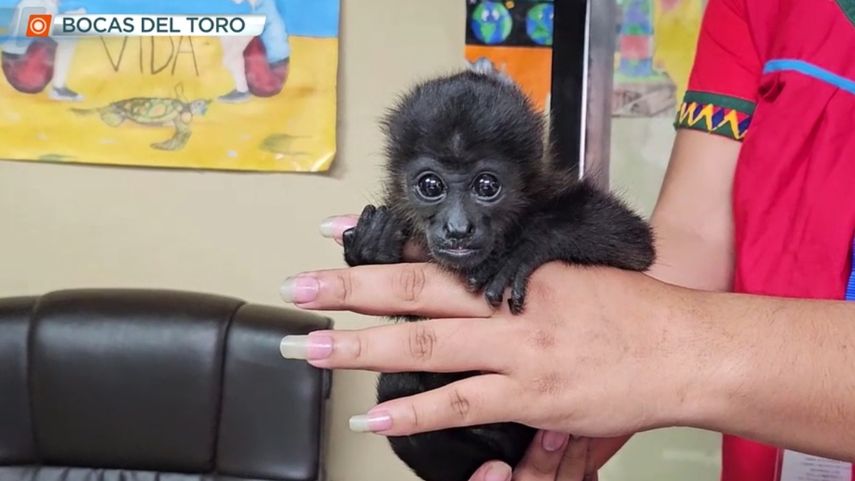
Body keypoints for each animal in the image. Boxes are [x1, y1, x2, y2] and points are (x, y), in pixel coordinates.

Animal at [340, 62, 656, 481]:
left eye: (487, 185)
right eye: (431, 185)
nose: (458, 228)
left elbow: (634, 242)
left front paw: (523, 248)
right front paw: (373, 249)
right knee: (399, 382)